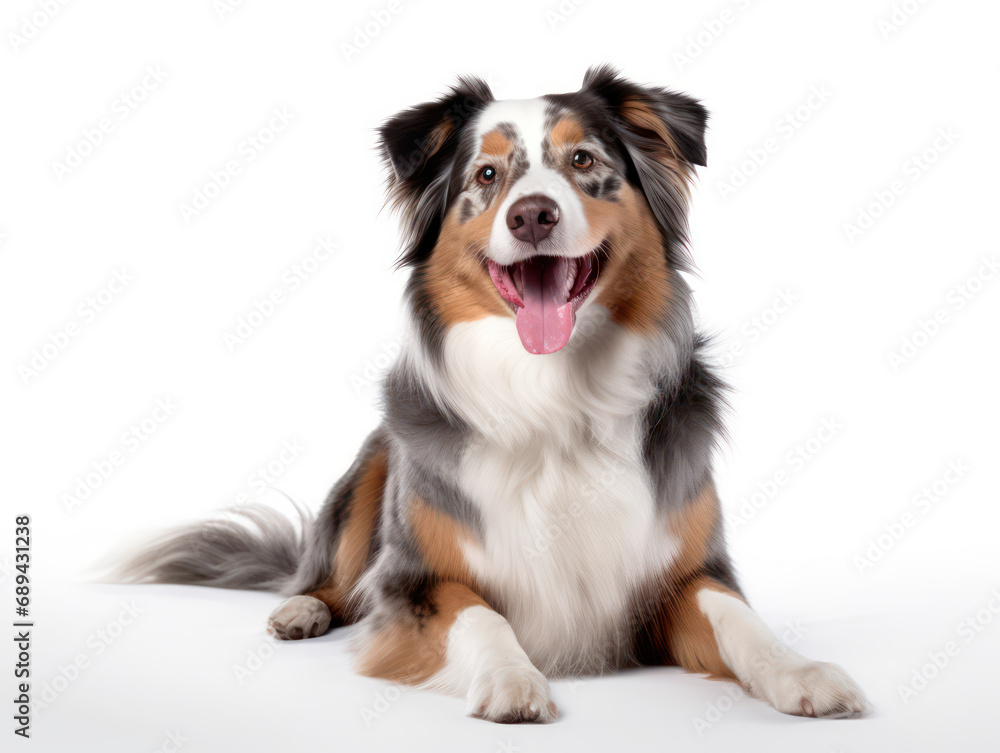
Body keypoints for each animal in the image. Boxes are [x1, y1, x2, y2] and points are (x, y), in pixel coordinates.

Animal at [115, 69, 868, 724]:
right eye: (486, 173)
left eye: (584, 159)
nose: (533, 215)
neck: (555, 393)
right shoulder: (413, 580)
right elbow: (481, 615)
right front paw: (513, 680)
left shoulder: (685, 573)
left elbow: (738, 617)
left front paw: (800, 671)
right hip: (372, 470)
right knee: (325, 572)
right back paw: (300, 608)